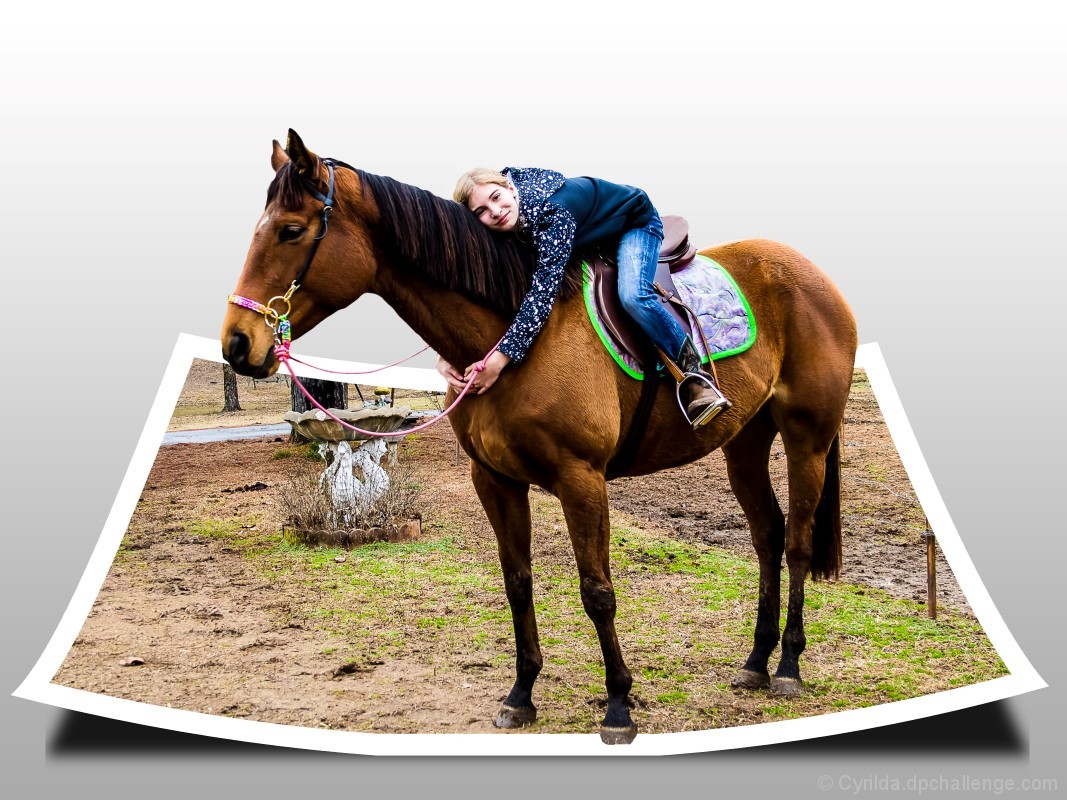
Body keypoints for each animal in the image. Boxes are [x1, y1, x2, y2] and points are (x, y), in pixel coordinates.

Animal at [223, 130, 857, 746]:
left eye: (291, 230)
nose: (236, 342)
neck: (517, 330)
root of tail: (817, 277)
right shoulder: (495, 481)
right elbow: (518, 583)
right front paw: (521, 695)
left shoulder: (583, 481)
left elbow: (597, 591)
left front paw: (619, 705)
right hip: (744, 443)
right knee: (768, 537)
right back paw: (755, 662)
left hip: (807, 440)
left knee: (797, 542)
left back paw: (789, 667)